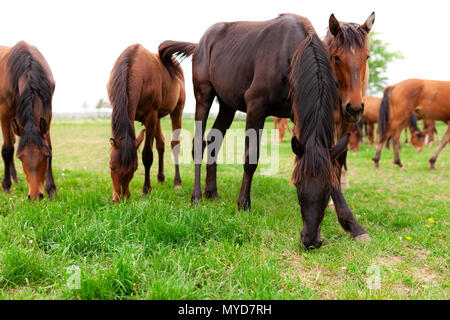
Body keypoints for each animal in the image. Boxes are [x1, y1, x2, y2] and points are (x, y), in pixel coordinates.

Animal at [0, 40, 55, 200]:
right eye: (21, 158)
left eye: (44, 157)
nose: (35, 196)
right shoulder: (4, 113)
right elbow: (7, 150)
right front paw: (6, 187)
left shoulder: (47, 113)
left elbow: (49, 146)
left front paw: (51, 189)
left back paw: (16, 179)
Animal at [107, 43, 185, 201]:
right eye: (111, 167)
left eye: (134, 168)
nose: (120, 199)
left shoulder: (150, 117)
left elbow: (147, 155)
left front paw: (146, 189)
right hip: (159, 117)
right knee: (160, 143)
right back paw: (161, 178)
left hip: (176, 110)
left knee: (175, 144)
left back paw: (177, 182)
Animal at [160, 12, 374, 248]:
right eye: (297, 185)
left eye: (367, 57)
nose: (310, 240)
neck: (292, 53)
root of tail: (200, 44)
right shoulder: (256, 107)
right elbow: (250, 159)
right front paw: (243, 204)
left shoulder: (298, 114)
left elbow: (331, 166)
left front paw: (353, 225)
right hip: (204, 96)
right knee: (199, 143)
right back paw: (197, 196)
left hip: (227, 105)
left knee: (214, 141)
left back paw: (211, 192)